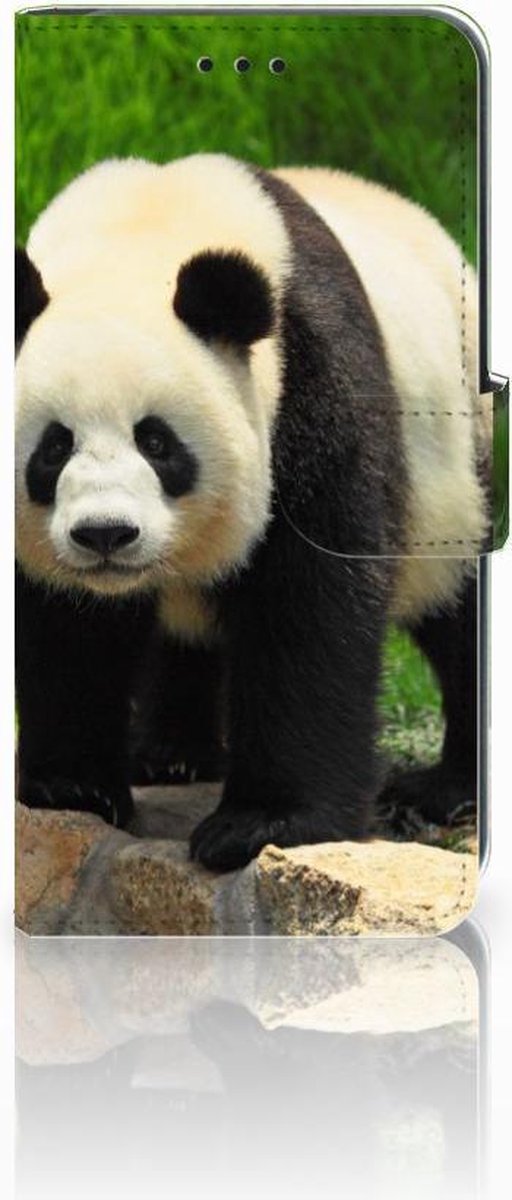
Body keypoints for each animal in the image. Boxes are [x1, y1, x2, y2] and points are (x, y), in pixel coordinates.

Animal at [15, 153, 490, 871]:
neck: (141, 233)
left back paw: (447, 788)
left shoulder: (310, 381)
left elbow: (310, 604)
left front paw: (264, 823)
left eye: (157, 442)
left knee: (456, 605)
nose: (106, 535)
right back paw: (173, 754)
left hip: (455, 471)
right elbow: (64, 623)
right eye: (53, 447)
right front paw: (70, 786)